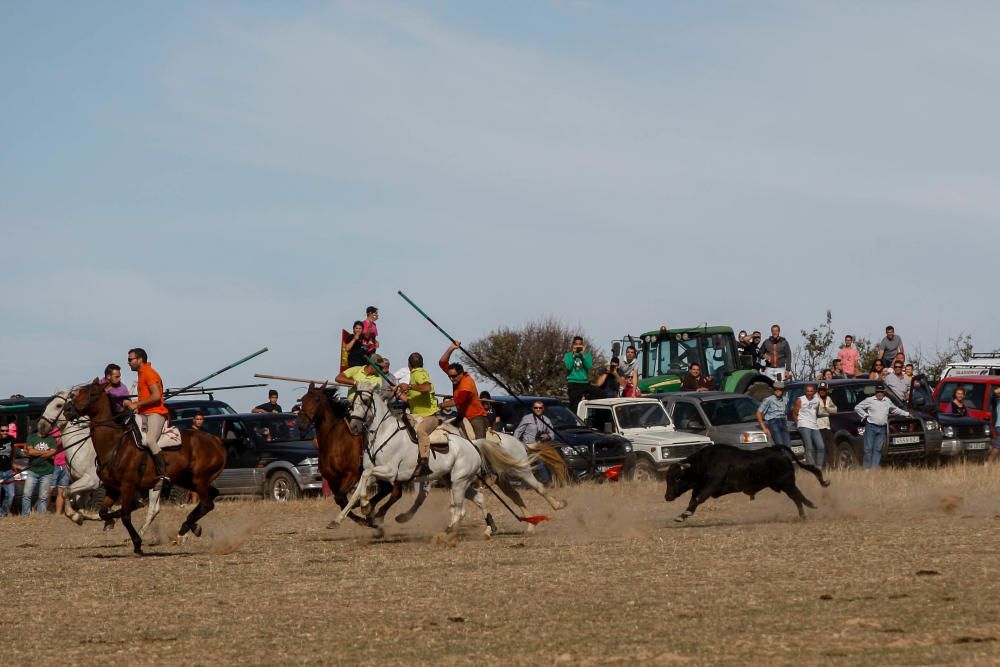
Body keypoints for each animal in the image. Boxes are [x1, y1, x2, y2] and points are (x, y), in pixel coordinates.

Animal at [37, 392, 162, 536]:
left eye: (58, 405)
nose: (41, 427)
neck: (81, 447)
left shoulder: (91, 481)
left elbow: (66, 493)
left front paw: (77, 516)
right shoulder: (81, 484)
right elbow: (77, 502)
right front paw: (80, 516)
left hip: (152, 485)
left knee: (153, 508)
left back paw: (139, 531)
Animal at [67, 378, 228, 556]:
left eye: (92, 394)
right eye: (78, 392)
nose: (68, 410)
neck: (114, 443)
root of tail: (216, 441)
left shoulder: (128, 485)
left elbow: (125, 515)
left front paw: (137, 543)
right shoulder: (113, 488)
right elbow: (106, 512)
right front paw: (82, 517)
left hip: (200, 479)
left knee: (208, 503)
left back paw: (184, 530)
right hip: (187, 479)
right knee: (212, 495)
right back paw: (192, 527)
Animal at [292, 384, 414, 536]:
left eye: (317, 400)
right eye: (303, 399)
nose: (301, 423)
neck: (335, 440)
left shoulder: (352, 475)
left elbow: (341, 497)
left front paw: (363, 517)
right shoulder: (332, 480)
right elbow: (340, 500)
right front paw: (363, 517)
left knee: (396, 493)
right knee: (387, 490)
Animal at [336, 380, 556, 536]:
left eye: (365, 401)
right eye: (351, 402)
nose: (354, 426)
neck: (384, 433)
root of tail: (474, 446)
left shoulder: (391, 472)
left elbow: (369, 480)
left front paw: (367, 508)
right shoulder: (378, 472)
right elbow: (360, 486)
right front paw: (342, 517)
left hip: (489, 475)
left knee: (533, 488)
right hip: (462, 480)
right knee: (490, 498)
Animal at [664, 446, 828, 524]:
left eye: (677, 478)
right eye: (667, 478)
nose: (667, 497)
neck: (704, 463)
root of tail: (776, 450)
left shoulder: (710, 486)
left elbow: (698, 499)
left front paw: (684, 514)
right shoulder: (699, 487)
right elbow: (693, 499)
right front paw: (682, 515)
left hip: (787, 483)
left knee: (797, 496)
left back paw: (808, 510)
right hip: (785, 485)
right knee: (796, 498)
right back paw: (804, 514)